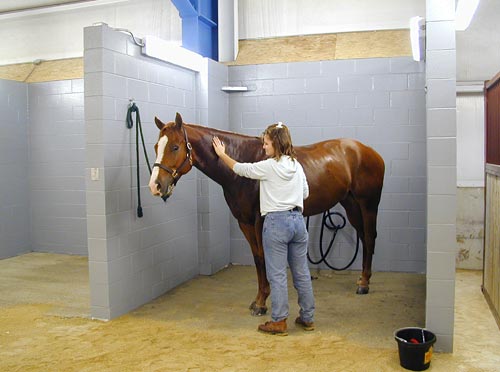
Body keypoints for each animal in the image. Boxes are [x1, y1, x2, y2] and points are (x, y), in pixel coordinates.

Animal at [148, 112, 386, 316]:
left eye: (175, 147)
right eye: (156, 146)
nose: (155, 186)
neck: (244, 162)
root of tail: (370, 152)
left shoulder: (259, 221)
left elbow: (264, 256)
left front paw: (262, 303)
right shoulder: (244, 222)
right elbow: (257, 257)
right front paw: (258, 299)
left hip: (368, 206)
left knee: (370, 238)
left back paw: (364, 285)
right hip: (351, 205)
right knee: (364, 238)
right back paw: (362, 280)